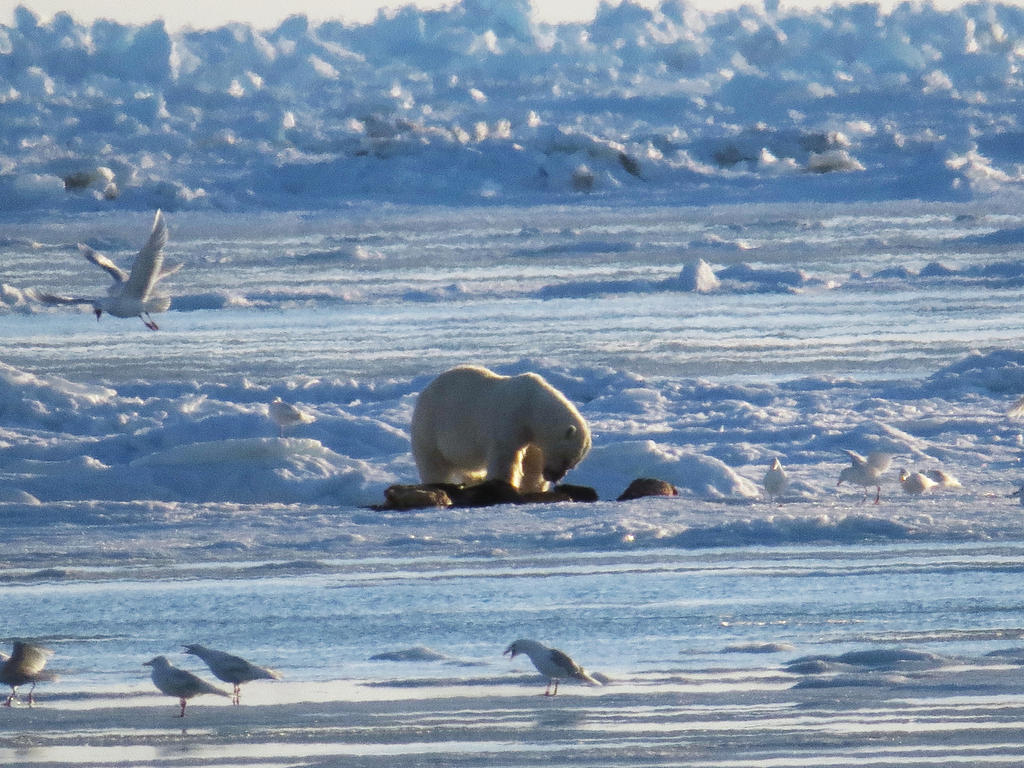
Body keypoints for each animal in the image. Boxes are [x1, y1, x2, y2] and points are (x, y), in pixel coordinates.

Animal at [409, 364, 593, 495]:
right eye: (565, 459)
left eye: (572, 464)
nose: (553, 476)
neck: (532, 405)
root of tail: (425, 390)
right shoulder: (510, 420)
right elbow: (504, 457)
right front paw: (503, 485)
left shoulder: (532, 437)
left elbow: (533, 461)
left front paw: (534, 487)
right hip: (430, 426)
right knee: (433, 463)